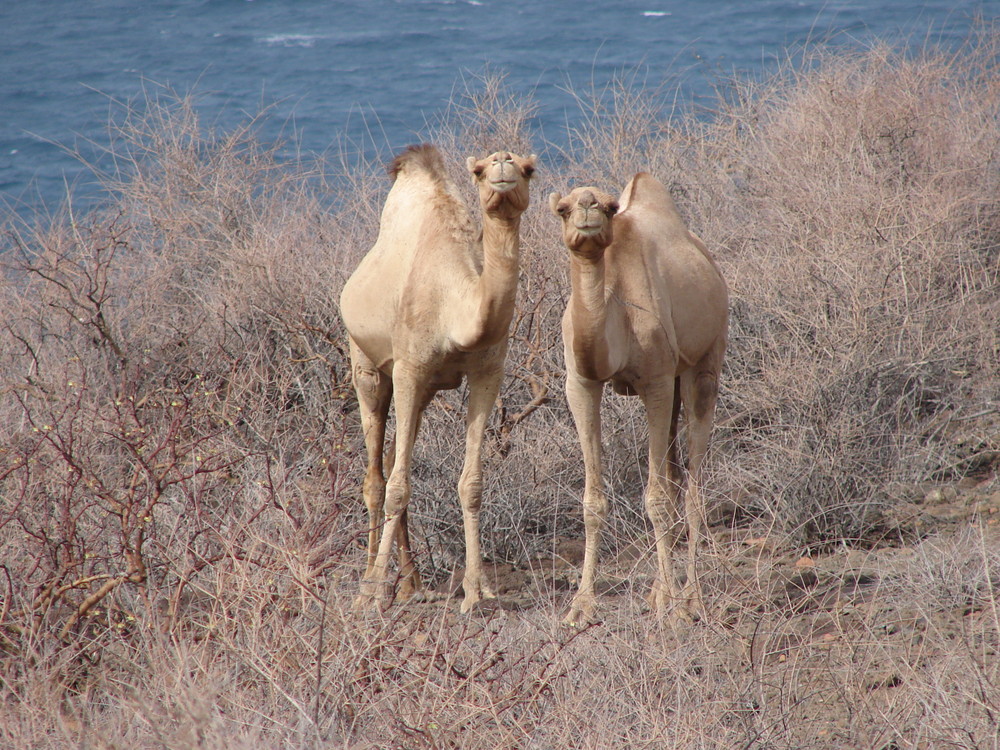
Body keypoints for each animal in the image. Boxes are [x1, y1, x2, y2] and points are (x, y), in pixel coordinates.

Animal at [338, 144, 540, 612]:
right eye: (480, 170)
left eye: (528, 169)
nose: (503, 161)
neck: (456, 310)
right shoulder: (410, 368)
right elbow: (398, 487)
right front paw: (374, 594)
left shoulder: (486, 372)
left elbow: (471, 484)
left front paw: (476, 591)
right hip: (367, 365)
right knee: (377, 477)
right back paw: (369, 585)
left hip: (425, 388)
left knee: (394, 457)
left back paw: (410, 584)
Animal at [548, 173, 728, 624]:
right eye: (562, 209)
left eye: (611, 208)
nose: (588, 207)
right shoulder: (580, 384)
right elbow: (593, 502)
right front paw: (581, 606)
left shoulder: (656, 382)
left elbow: (657, 499)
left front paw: (674, 606)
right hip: (679, 377)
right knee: (675, 472)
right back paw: (663, 591)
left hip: (706, 359)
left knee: (692, 485)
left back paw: (690, 598)